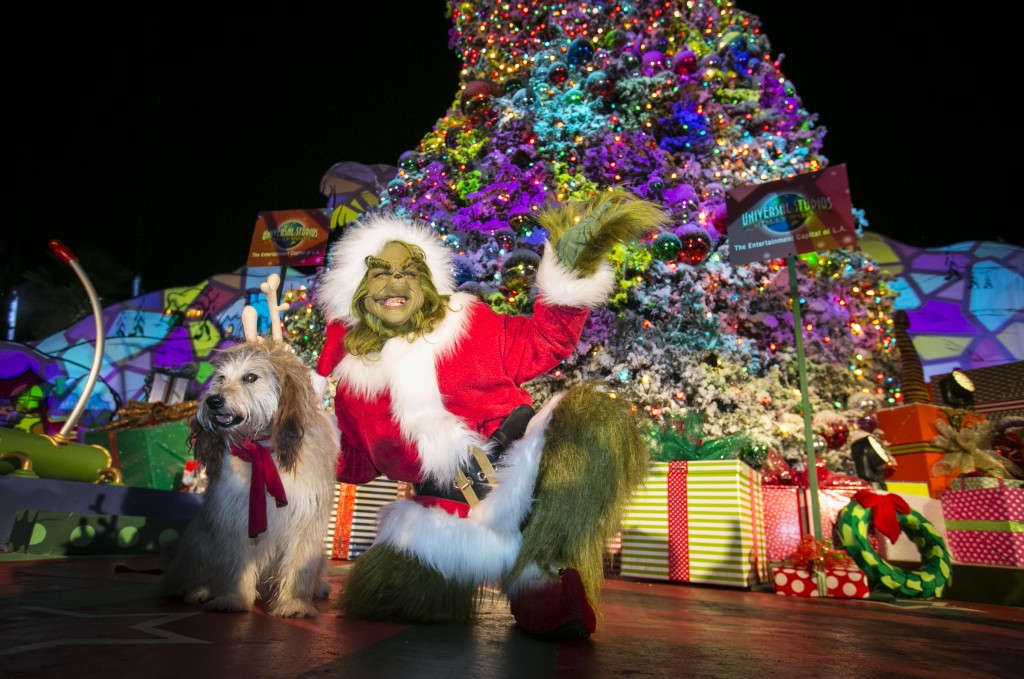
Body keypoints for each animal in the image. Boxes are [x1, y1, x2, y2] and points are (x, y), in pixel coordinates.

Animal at [162, 342, 339, 618]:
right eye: (221, 379)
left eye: (250, 378)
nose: (213, 400)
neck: (263, 449)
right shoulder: (237, 517)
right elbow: (237, 563)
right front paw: (233, 597)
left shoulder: (305, 521)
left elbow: (299, 565)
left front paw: (294, 602)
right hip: (199, 543)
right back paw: (200, 590)